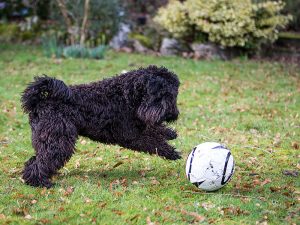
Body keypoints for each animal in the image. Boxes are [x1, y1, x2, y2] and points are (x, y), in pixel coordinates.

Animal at [21, 65, 180, 188]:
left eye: (173, 95)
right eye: (163, 94)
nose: (172, 114)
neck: (126, 95)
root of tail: (38, 103)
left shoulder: (138, 125)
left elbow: (153, 129)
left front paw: (169, 133)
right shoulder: (130, 135)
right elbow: (153, 142)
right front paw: (171, 152)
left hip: (46, 140)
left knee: (34, 160)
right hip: (58, 141)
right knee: (40, 162)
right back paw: (40, 182)